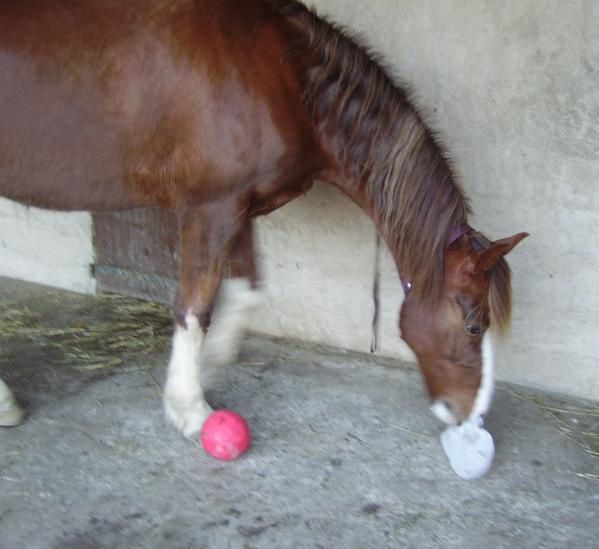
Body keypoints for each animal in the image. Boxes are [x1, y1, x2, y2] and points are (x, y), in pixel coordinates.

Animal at [0, 1, 524, 436]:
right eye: (474, 325)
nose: (470, 414)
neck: (283, 76)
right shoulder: (210, 208)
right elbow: (193, 307)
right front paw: (190, 408)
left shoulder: (237, 207)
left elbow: (247, 290)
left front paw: (208, 366)